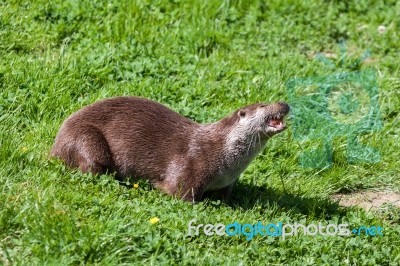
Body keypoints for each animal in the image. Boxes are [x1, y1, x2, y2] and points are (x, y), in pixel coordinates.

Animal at [50, 96, 288, 203]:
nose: (284, 104)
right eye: (263, 105)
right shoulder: (190, 166)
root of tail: (55, 145)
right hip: (86, 139)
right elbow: (180, 193)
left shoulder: (228, 182)